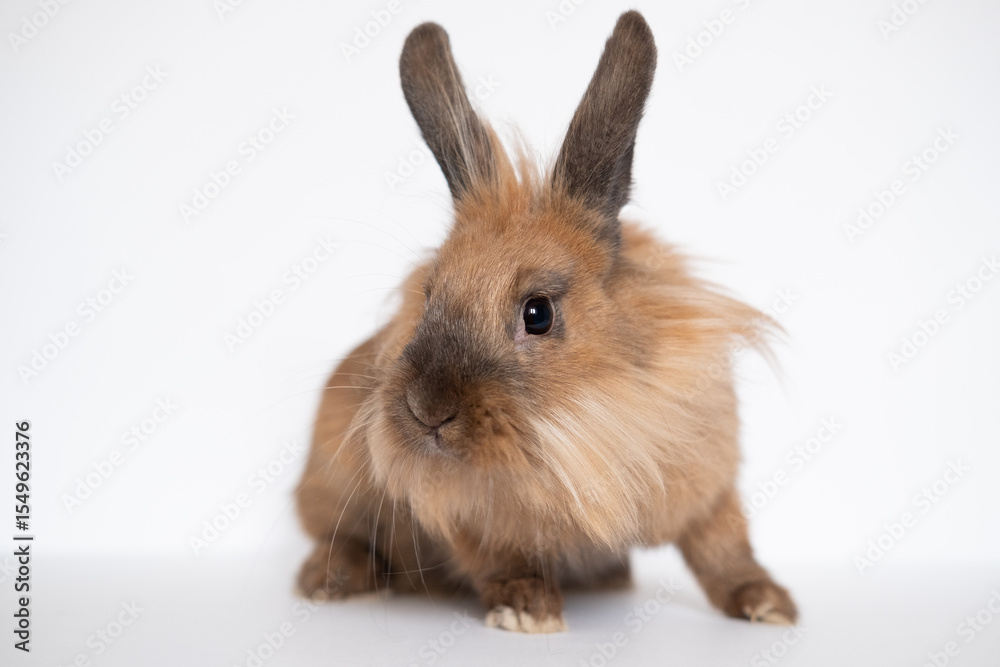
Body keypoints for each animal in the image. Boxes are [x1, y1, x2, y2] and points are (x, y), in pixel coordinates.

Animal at [295, 10, 798, 633]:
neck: (579, 424)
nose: (428, 410)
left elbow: (725, 550)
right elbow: (502, 556)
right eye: (428, 296)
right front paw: (527, 611)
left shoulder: (708, 487)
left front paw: (769, 605)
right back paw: (329, 580)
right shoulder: (465, 514)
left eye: (537, 313)